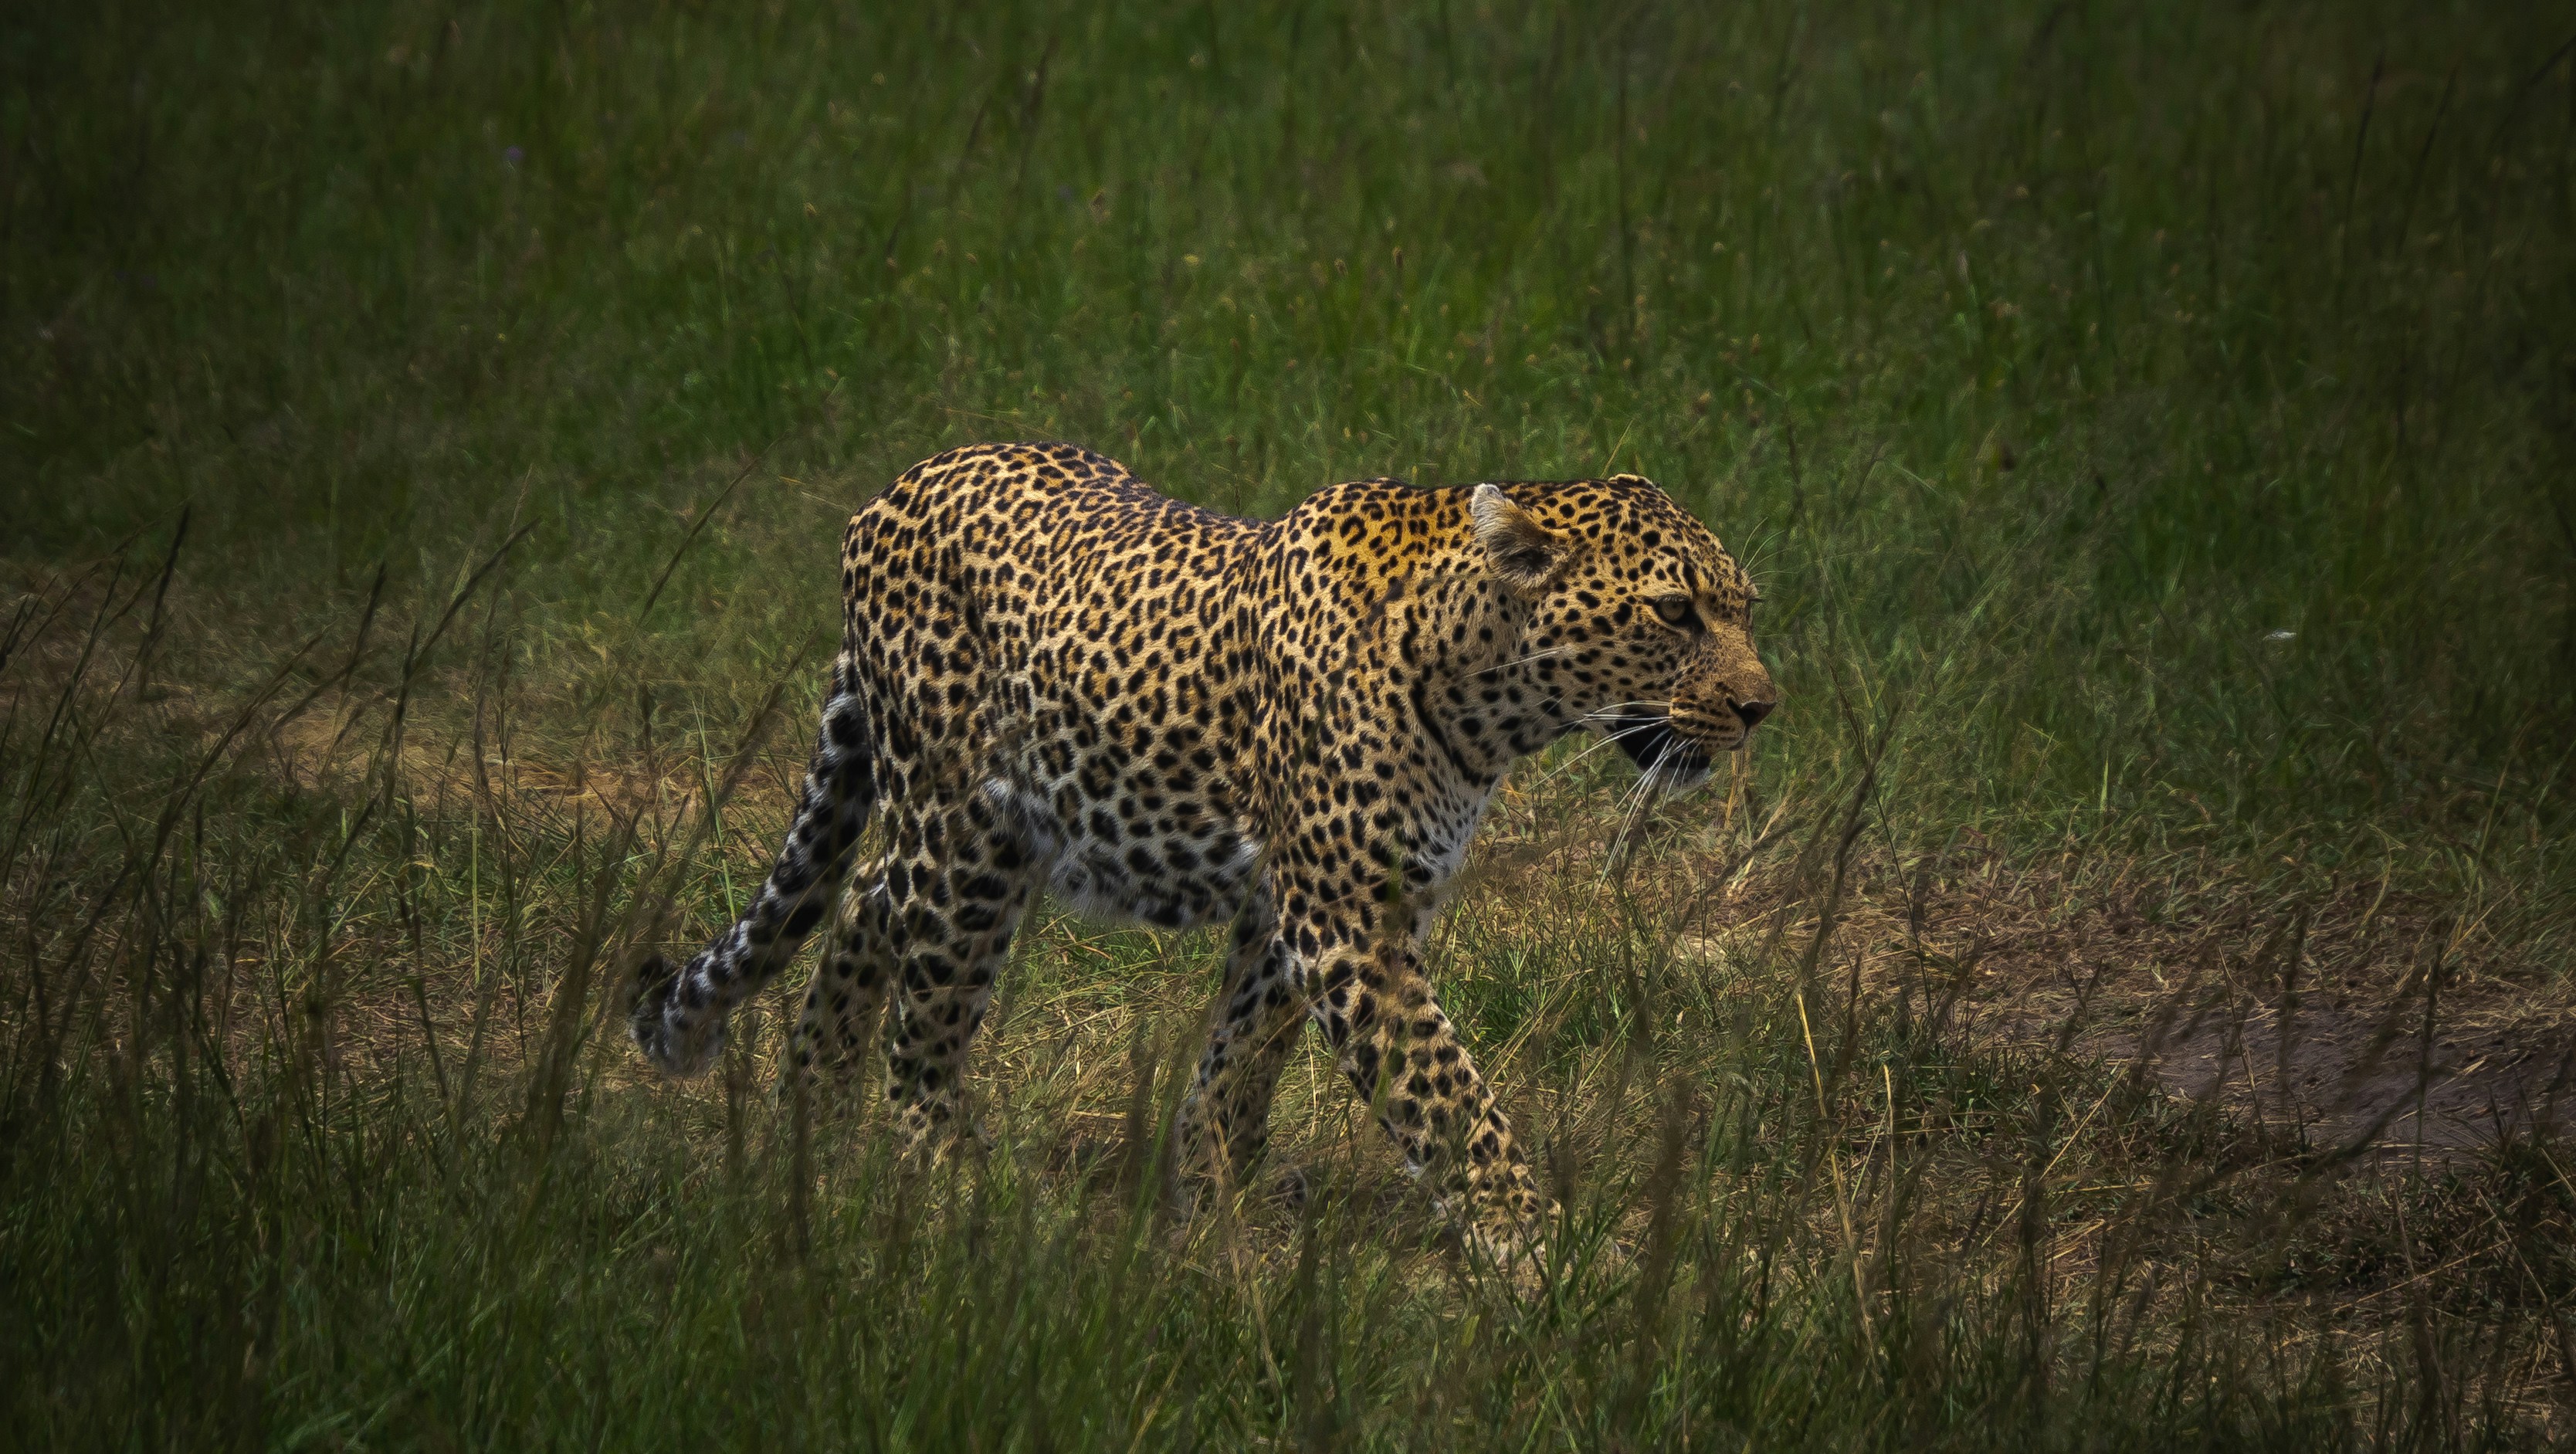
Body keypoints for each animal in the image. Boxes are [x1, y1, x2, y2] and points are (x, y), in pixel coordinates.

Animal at [629, 441, 1777, 1247]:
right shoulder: (1346, 919)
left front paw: (1214, 1198)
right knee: (927, 1010)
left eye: (1745, 607)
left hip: (956, 826)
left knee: (867, 896)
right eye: (1674, 612)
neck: (1483, 692)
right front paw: (1534, 1250)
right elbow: (1449, 1094)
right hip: (967, 829)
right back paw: (946, 1177)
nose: (1764, 706)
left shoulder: (1303, 910)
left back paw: (817, 1116)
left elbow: (1239, 1061)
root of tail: (900, 482)